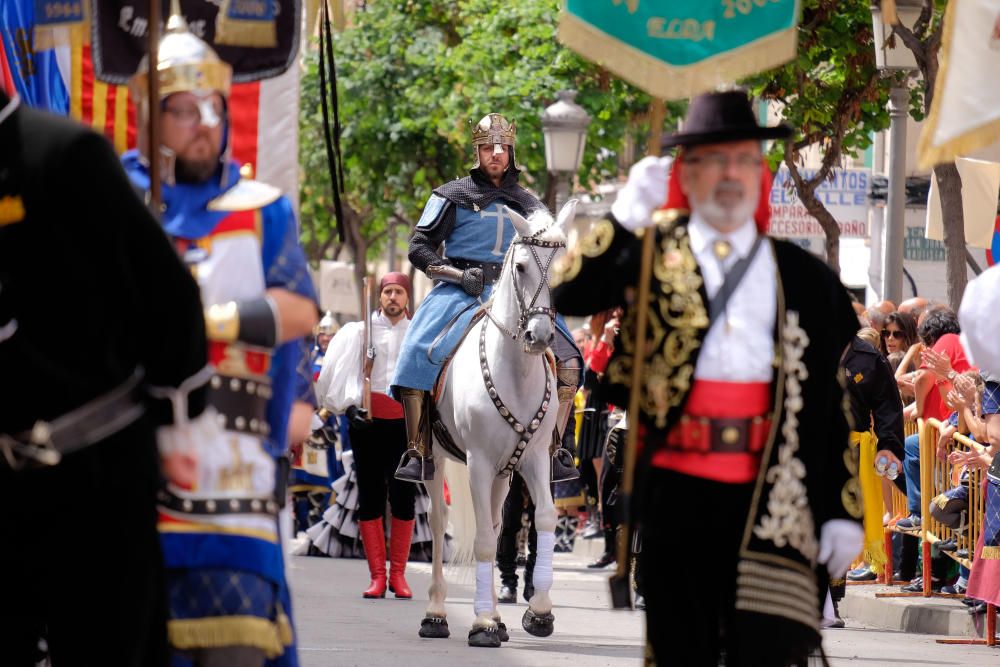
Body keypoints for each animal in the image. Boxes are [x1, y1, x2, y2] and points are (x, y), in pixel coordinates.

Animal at [416, 200, 576, 648]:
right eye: (520, 266)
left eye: (563, 267)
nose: (540, 336)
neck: (515, 372)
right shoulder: (479, 462)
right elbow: (484, 541)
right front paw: (482, 622)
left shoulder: (533, 458)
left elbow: (543, 519)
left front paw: (538, 612)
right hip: (437, 459)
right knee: (440, 523)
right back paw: (436, 613)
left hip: (506, 471)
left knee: (496, 519)